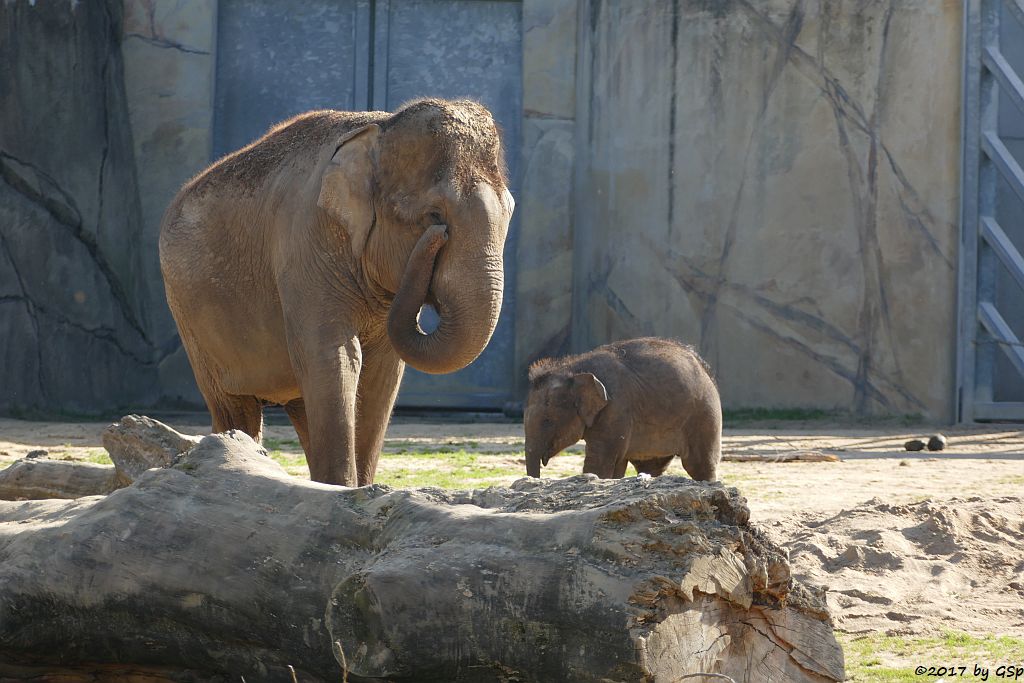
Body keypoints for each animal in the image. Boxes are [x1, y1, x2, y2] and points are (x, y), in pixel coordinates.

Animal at [159, 100, 512, 485]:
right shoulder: (306, 244)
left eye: (510, 212)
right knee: (234, 405)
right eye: (434, 215)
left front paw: (362, 489)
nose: (435, 238)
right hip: (190, 321)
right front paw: (343, 490)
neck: (380, 130)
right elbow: (337, 355)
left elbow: (380, 372)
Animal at [524, 337, 724, 481]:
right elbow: (616, 464)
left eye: (547, 421)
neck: (573, 369)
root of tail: (705, 368)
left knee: (699, 465)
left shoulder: (616, 408)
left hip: (705, 414)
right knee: (651, 465)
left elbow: (599, 462)